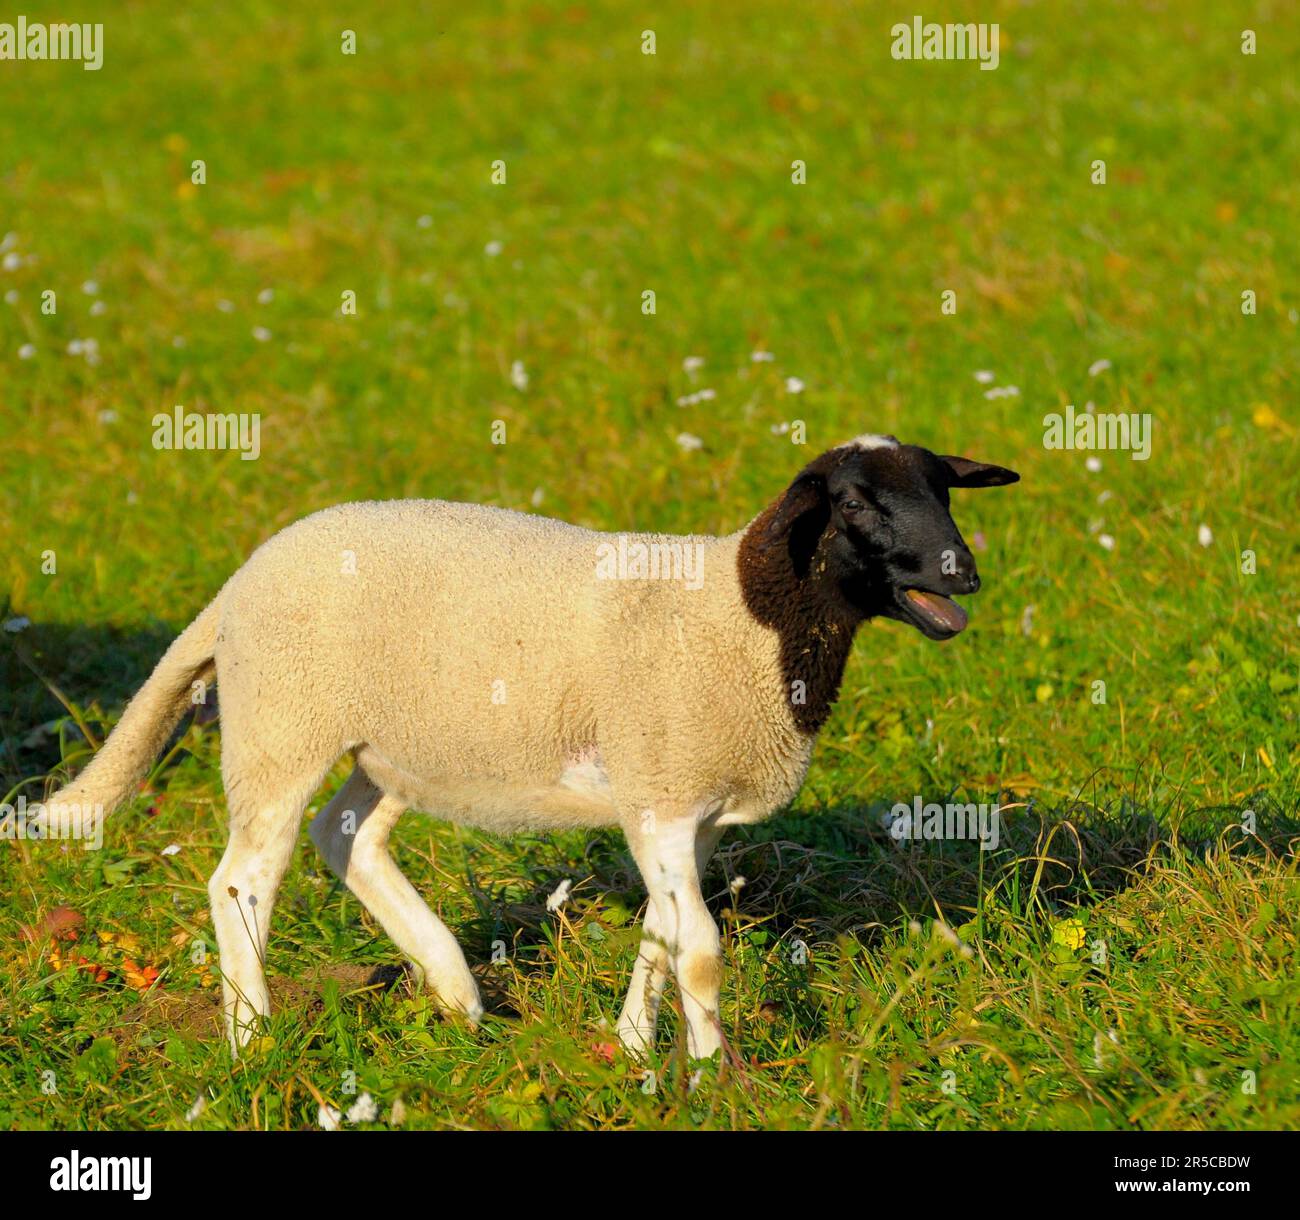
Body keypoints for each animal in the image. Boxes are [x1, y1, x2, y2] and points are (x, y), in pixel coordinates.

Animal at [40, 437, 1019, 1056]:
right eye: (853, 500)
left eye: (943, 489)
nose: (962, 571)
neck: (744, 619)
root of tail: (237, 584)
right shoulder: (663, 792)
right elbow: (699, 945)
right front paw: (710, 1075)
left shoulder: (682, 809)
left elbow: (664, 932)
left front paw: (633, 1050)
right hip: (285, 723)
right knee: (242, 880)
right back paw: (253, 1041)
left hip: (396, 744)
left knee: (346, 835)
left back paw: (456, 993)